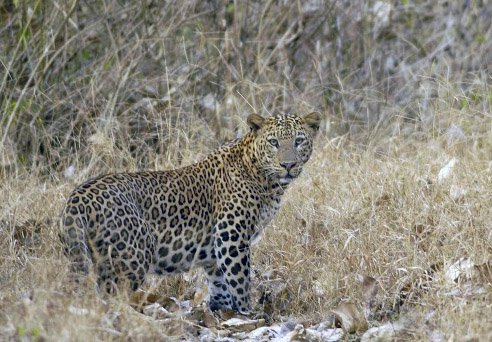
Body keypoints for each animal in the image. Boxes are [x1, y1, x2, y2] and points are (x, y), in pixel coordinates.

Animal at [59, 111, 320, 312]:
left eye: (298, 141)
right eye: (274, 142)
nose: (288, 165)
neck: (266, 179)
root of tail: (77, 197)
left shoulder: (215, 250)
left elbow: (220, 283)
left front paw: (222, 311)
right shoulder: (231, 236)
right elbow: (240, 280)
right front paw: (248, 312)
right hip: (132, 257)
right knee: (112, 296)